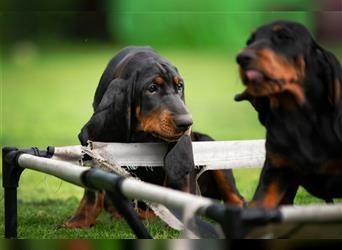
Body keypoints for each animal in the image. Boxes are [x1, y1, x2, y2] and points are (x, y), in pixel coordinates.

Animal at [61, 47, 243, 229]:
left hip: (207, 143)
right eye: (152, 88)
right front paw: (78, 222)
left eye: (180, 87)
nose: (187, 123)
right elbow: (92, 190)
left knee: (236, 198)